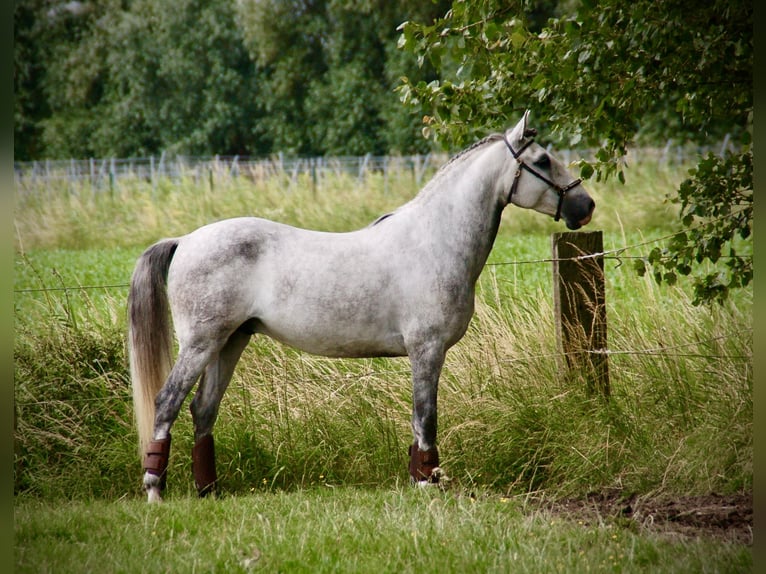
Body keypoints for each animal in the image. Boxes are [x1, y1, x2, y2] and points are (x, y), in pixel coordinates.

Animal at [129, 109, 596, 504]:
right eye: (543, 160)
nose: (586, 205)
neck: (433, 240)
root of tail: (185, 240)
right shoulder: (427, 350)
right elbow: (426, 418)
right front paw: (428, 485)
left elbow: (417, 424)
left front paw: (418, 480)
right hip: (201, 344)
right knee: (167, 403)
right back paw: (155, 491)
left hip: (230, 342)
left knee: (203, 411)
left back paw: (209, 491)